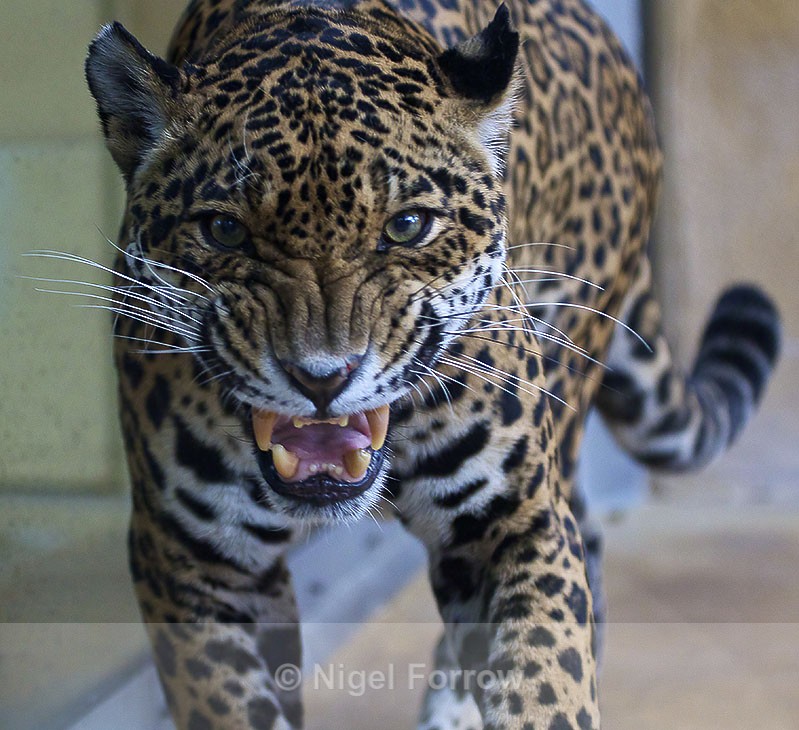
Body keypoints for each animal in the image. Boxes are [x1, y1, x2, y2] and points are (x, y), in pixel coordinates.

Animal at [83, 0, 780, 727]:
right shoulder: (193, 560)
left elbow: (546, 673)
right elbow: (226, 699)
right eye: (223, 231)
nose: (322, 376)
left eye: (408, 226)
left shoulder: (515, 516)